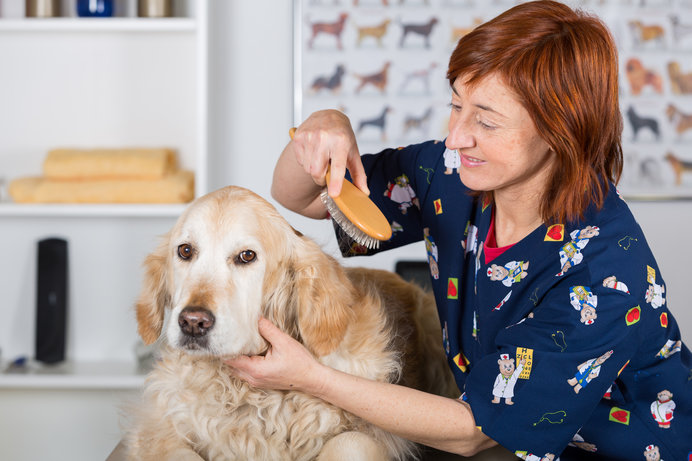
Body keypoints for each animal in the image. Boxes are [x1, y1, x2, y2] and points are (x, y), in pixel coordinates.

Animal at [123, 186, 460, 460]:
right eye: (185, 251)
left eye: (247, 256)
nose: (193, 322)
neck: (247, 394)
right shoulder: (156, 428)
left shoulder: (381, 433)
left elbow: (349, 442)